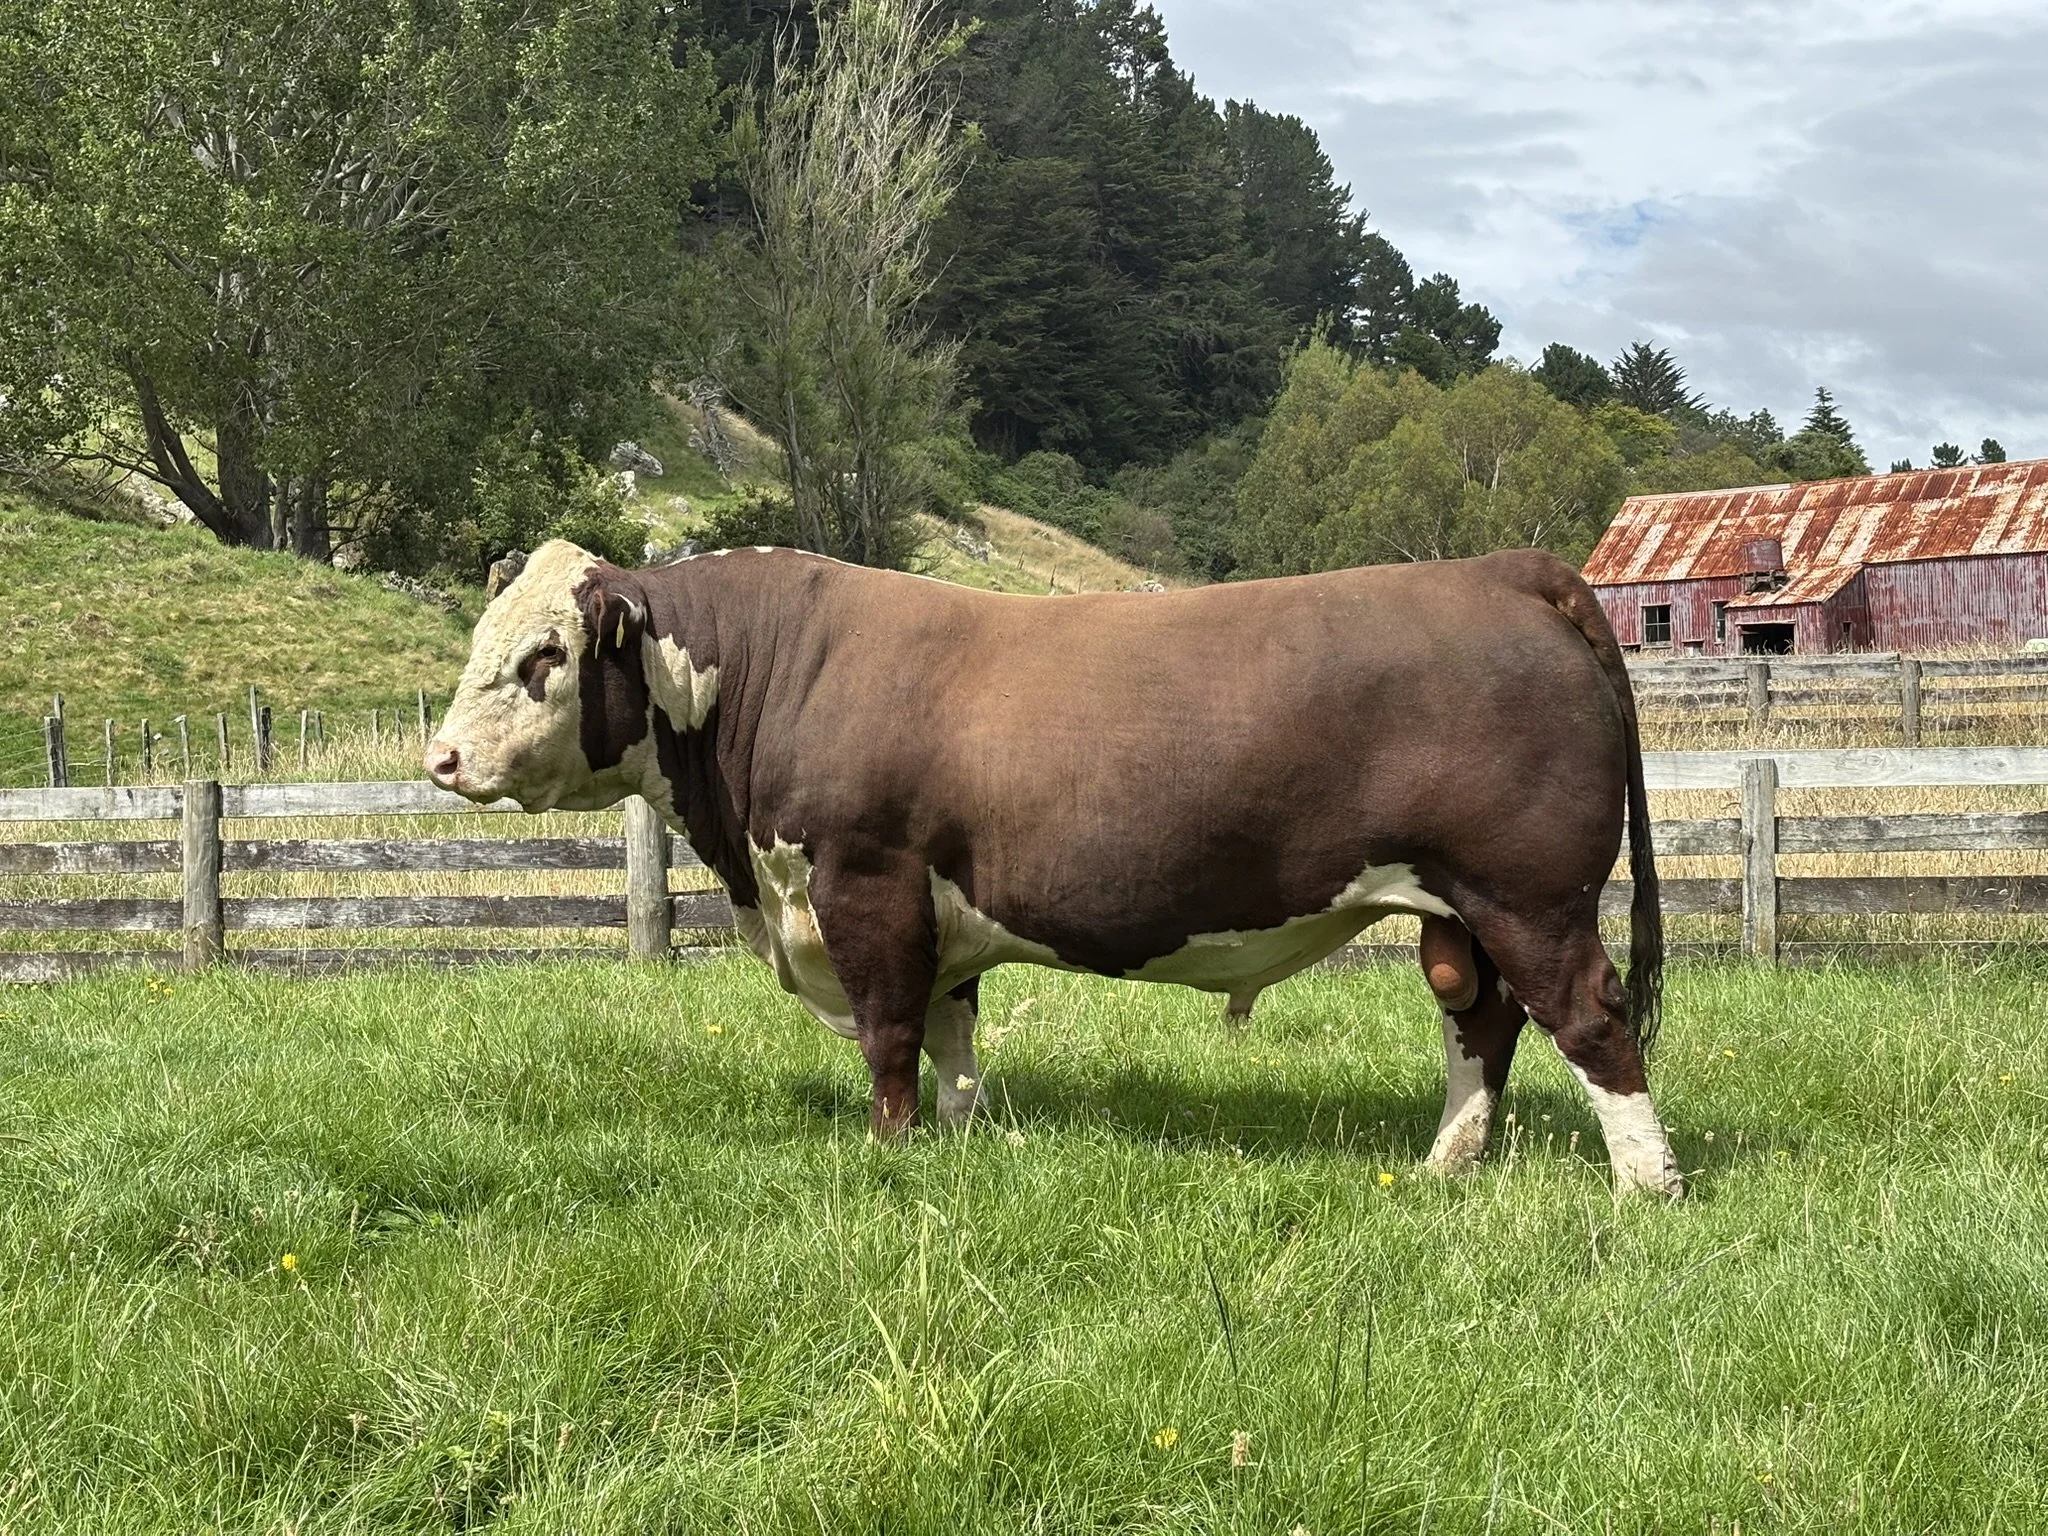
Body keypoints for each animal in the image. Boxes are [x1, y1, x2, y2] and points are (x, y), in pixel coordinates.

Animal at [427, 539, 1682, 1196]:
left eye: (545, 655)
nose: (439, 758)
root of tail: (1499, 567)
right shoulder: (938, 912)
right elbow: (951, 1035)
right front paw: (961, 1140)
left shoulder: (866, 885)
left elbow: (889, 1035)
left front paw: (889, 1158)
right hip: (1460, 910)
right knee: (1480, 1023)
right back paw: (1444, 1167)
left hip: (1530, 895)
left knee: (1587, 1015)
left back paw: (1644, 1184)